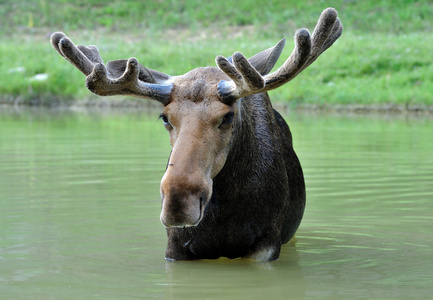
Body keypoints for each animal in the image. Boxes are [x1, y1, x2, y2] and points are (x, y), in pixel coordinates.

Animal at [50, 7, 340, 260]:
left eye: (228, 116)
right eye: (165, 117)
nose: (179, 202)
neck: (226, 209)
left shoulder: (267, 242)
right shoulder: (175, 247)